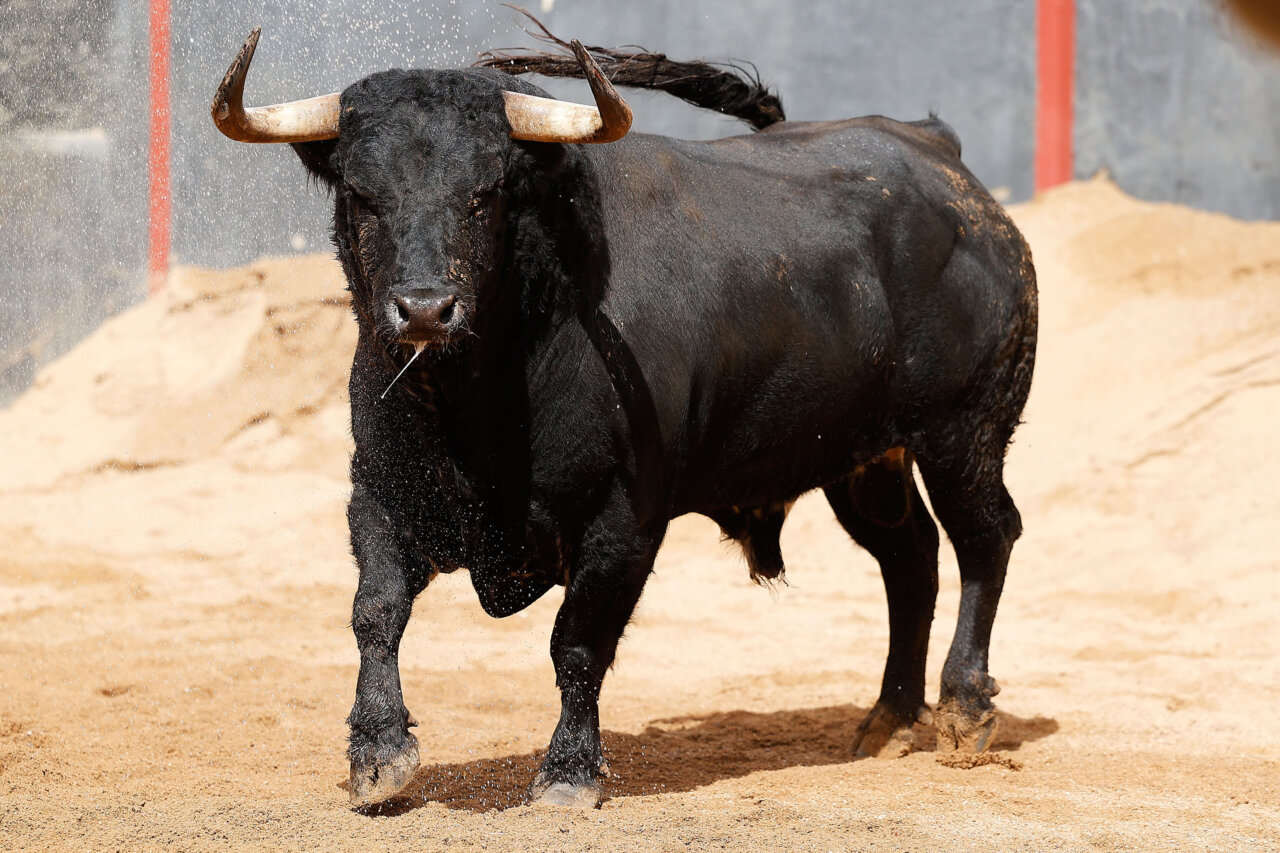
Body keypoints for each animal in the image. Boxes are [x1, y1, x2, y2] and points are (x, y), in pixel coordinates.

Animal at [211, 18, 1037, 810]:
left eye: (487, 191)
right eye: (361, 193)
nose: (423, 309)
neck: (476, 405)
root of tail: (937, 152)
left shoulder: (623, 518)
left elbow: (578, 641)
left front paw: (568, 774)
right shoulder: (379, 492)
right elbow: (375, 611)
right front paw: (377, 757)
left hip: (965, 430)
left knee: (984, 539)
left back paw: (964, 709)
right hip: (864, 456)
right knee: (910, 555)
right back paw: (889, 720)